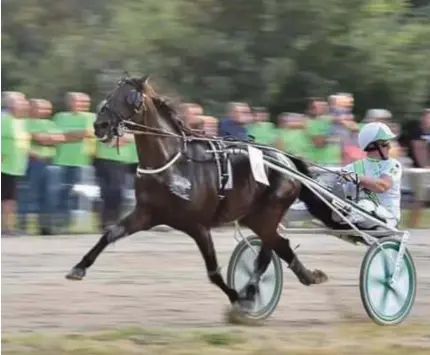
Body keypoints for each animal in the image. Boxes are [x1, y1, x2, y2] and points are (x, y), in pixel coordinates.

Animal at [65, 74, 330, 312]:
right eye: (110, 94)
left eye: (129, 97)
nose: (99, 125)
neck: (172, 164)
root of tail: (286, 159)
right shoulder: (146, 214)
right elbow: (110, 233)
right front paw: (79, 267)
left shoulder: (199, 226)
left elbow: (213, 271)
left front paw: (237, 297)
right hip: (254, 216)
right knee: (278, 245)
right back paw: (307, 276)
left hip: (271, 210)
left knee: (268, 250)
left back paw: (252, 290)